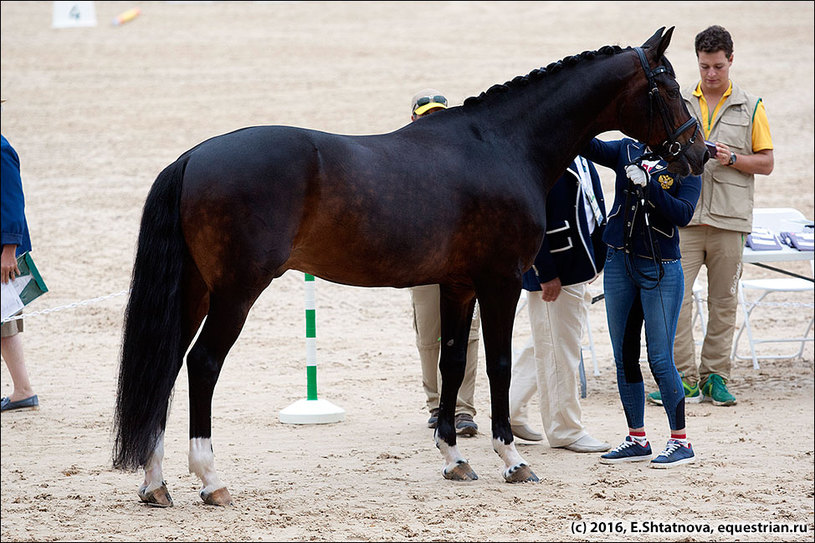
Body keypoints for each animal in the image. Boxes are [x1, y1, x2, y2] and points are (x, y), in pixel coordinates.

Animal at [113, 27, 708, 508]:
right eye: (668, 86)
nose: (698, 154)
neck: (502, 145)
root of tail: (194, 156)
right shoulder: (499, 283)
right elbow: (497, 367)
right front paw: (512, 461)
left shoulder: (458, 284)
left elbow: (452, 364)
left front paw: (454, 458)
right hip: (235, 293)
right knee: (202, 365)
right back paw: (211, 481)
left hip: (195, 293)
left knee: (166, 366)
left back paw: (155, 483)